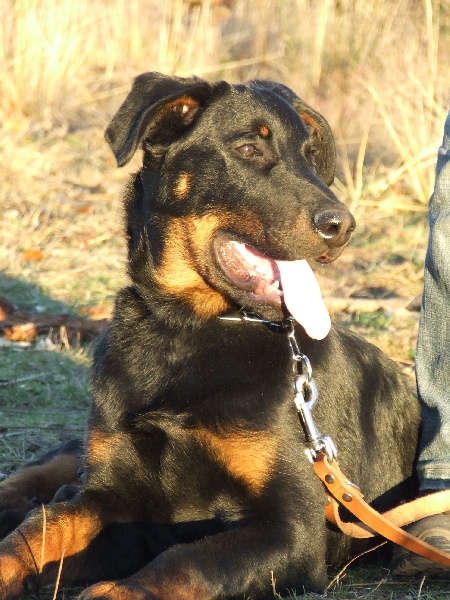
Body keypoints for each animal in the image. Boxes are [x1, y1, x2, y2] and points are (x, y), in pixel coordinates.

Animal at [0, 72, 418, 596]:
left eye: (310, 155)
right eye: (248, 149)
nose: (342, 226)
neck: (186, 331)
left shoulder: (292, 530)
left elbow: (189, 563)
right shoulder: (109, 496)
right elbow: (40, 529)